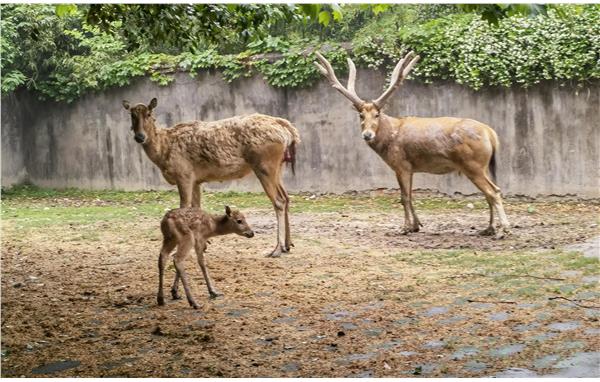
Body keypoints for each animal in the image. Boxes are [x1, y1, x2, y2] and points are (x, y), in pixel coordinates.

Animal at [122, 97, 300, 256]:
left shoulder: (184, 174)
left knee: (279, 201)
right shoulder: (196, 180)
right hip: (279, 167)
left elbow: (184, 207)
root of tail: (288, 131)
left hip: (264, 165)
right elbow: (196, 207)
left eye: (149, 114)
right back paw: (288, 244)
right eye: (132, 115)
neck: (163, 151)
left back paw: (277, 249)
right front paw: (204, 243)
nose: (140, 137)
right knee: (286, 197)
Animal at [316, 50, 508, 236]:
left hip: (472, 164)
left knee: (493, 192)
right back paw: (489, 228)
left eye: (377, 114)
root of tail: (491, 134)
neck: (389, 138)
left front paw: (406, 227)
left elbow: (404, 197)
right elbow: (410, 195)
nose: (367, 135)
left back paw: (504, 229)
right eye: (361, 116)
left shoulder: (401, 164)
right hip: (482, 165)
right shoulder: (411, 167)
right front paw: (416, 225)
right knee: (490, 192)